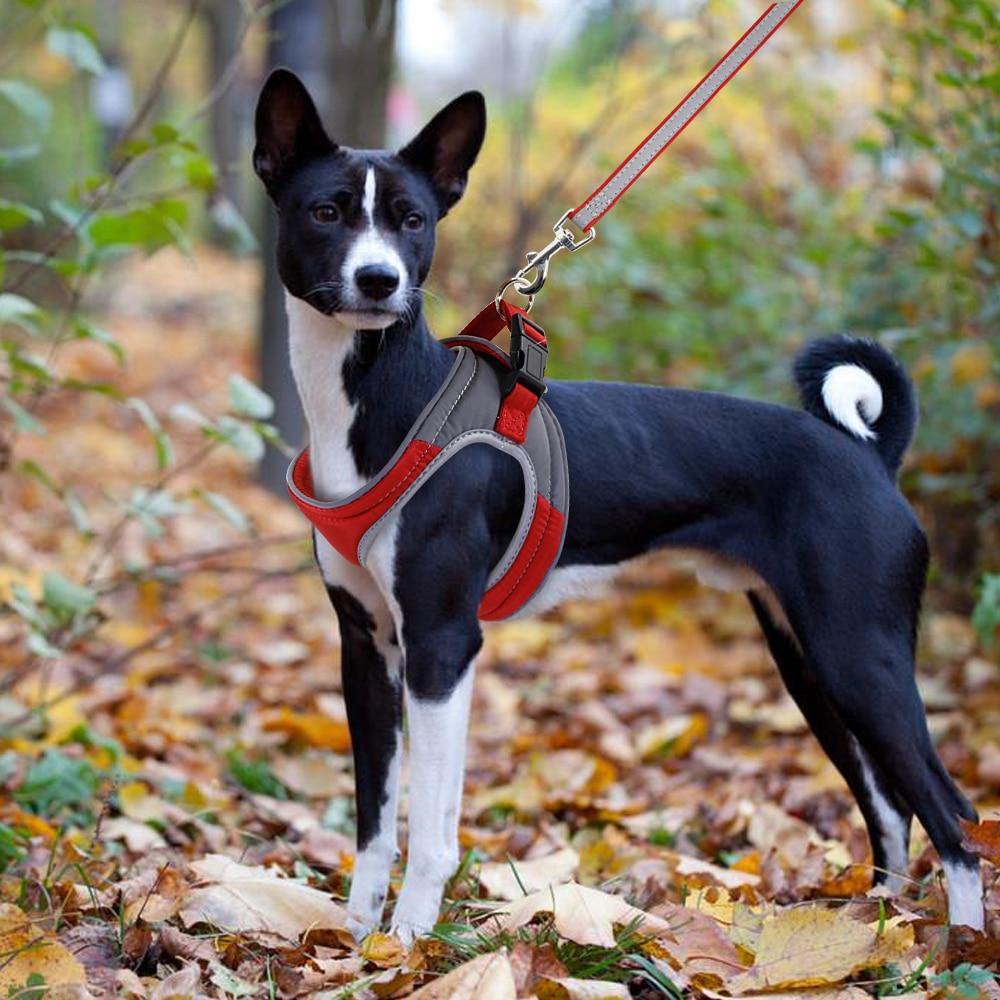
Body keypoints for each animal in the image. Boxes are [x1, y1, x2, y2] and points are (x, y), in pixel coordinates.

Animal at [252, 68, 984, 936]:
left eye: (413, 221)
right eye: (326, 212)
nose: (378, 281)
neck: (387, 402)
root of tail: (872, 455)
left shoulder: (440, 644)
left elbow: (429, 832)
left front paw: (406, 943)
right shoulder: (368, 647)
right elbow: (373, 823)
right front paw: (359, 940)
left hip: (858, 656)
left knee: (953, 815)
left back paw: (959, 946)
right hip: (811, 659)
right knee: (891, 805)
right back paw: (869, 929)